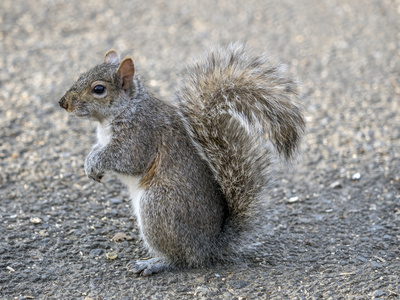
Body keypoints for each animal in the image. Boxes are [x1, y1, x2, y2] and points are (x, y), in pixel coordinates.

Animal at [58, 42, 304, 276]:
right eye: (80, 75)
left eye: (98, 89)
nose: (63, 103)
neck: (124, 110)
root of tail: (208, 247)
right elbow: (100, 149)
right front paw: (90, 163)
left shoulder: (140, 136)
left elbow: (127, 159)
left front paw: (94, 163)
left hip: (159, 207)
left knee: (180, 258)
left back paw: (154, 263)